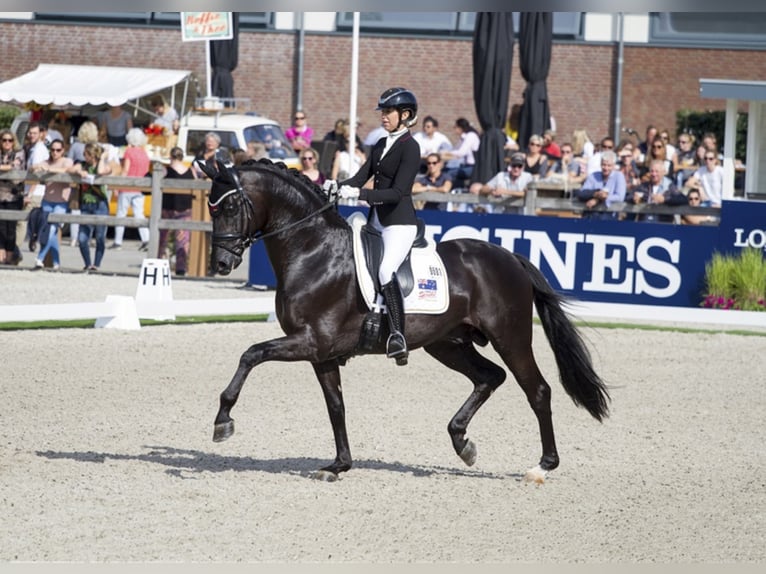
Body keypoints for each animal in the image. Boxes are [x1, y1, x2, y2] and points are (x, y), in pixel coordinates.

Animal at [200, 160, 612, 484]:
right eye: (210, 207)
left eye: (231, 204)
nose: (221, 264)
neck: (314, 252)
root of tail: (510, 257)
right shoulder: (323, 354)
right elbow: (336, 407)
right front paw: (339, 465)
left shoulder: (312, 341)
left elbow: (251, 354)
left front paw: (223, 421)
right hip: (447, 343)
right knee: (489, 377)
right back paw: (462, 442)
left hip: (509, 337)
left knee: (537, 390)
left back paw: (541, 467)